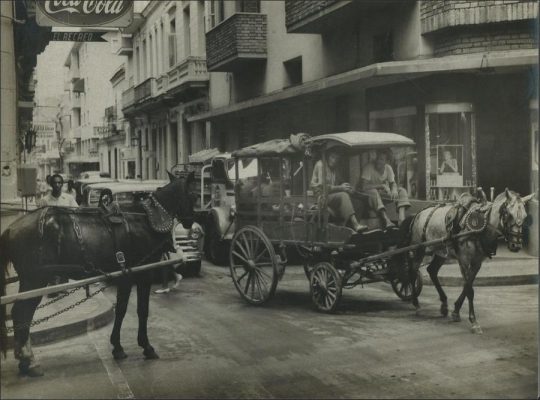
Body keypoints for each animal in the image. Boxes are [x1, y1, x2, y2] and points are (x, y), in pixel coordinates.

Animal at [0, 171, 194, 376]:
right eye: (194, 194)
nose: (190, 222)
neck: (146, 218)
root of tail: (11, 228)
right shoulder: (143, 274)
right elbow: (142, 310)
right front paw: (146, 346)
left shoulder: (125, 275)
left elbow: (121, 310)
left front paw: (117, 347)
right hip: (35, 279)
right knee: (21, 313)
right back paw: (28, 360)